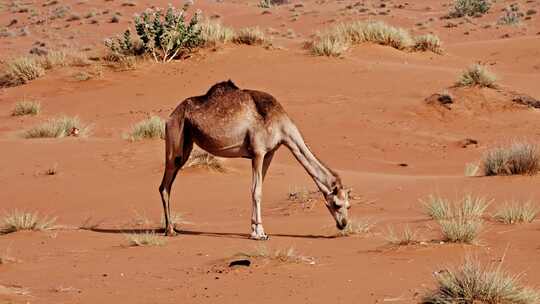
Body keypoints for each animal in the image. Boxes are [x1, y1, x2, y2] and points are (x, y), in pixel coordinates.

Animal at [157, 80, 350, 240]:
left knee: (167, 185)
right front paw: (260, 234)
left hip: (186, 143)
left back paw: (170, 228)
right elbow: (256, 191)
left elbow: (258, 189)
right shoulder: (258, 152)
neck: (281, 126)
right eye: (337, 204)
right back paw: (170, 230)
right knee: (165, 185)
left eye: (348, 205)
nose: (343, 224)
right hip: (175, 139)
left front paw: (254, 230)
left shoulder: (269, 154)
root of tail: (170, 117)